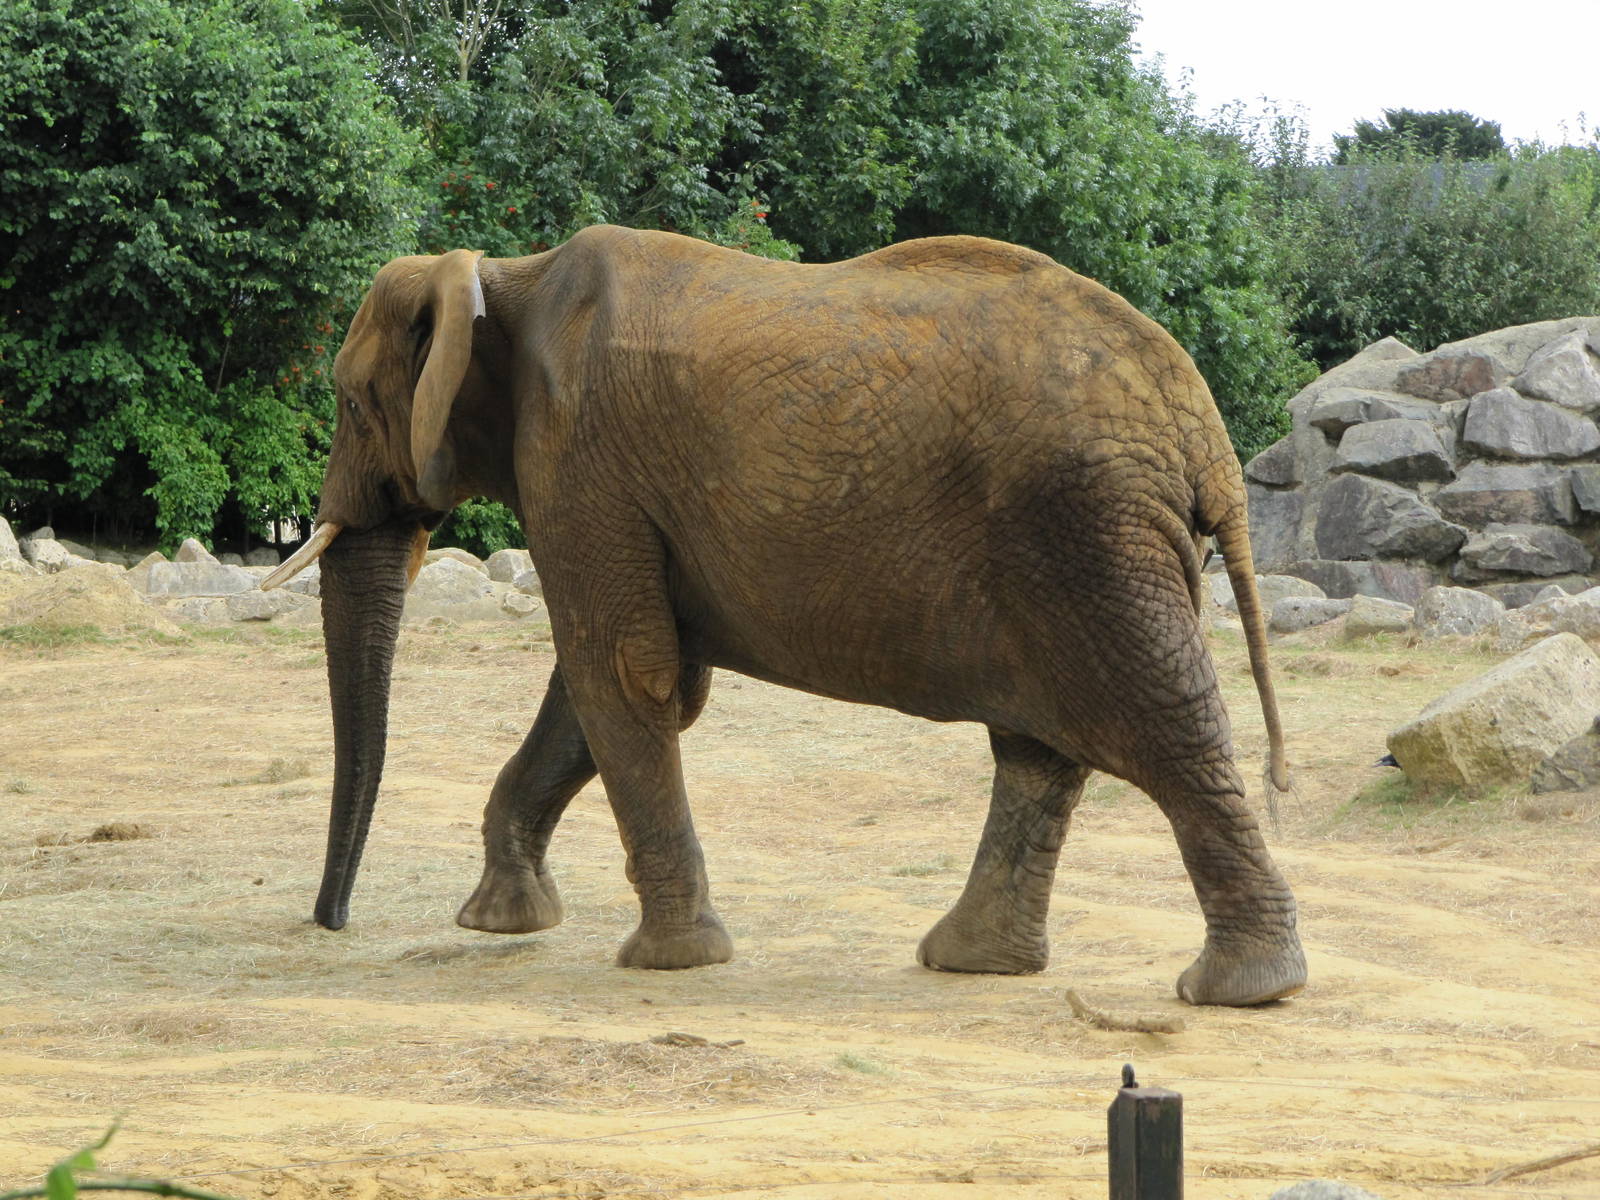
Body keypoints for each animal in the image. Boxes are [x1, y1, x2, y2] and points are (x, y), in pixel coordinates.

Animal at [263, 223, 1306, 1006]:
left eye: (349, 402)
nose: (331, 922)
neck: (502, 274)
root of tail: (1205, 436)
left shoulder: (577, 453)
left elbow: (622, 675)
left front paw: (668, 963)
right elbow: (603, 687)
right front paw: (499, 922)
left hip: (1088, 535)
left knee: (1158, 730)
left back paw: (1242, 988)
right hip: (1087, 547)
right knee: (1042, 750)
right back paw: (973, 963)